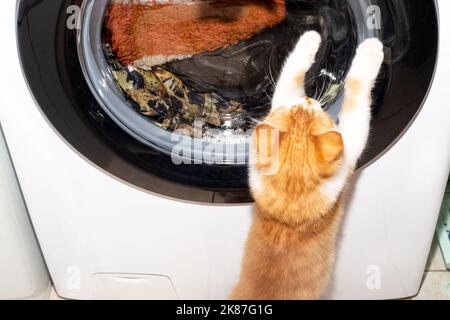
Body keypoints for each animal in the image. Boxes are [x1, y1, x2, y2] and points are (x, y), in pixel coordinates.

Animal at [232, 31, 384, 298]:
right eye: (317, 113)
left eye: (298, 108)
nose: (307, 99)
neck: (291, 200)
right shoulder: (351, 143)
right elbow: (356, 91)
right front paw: (369, 51)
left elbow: (289, 75)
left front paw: (308, 40)